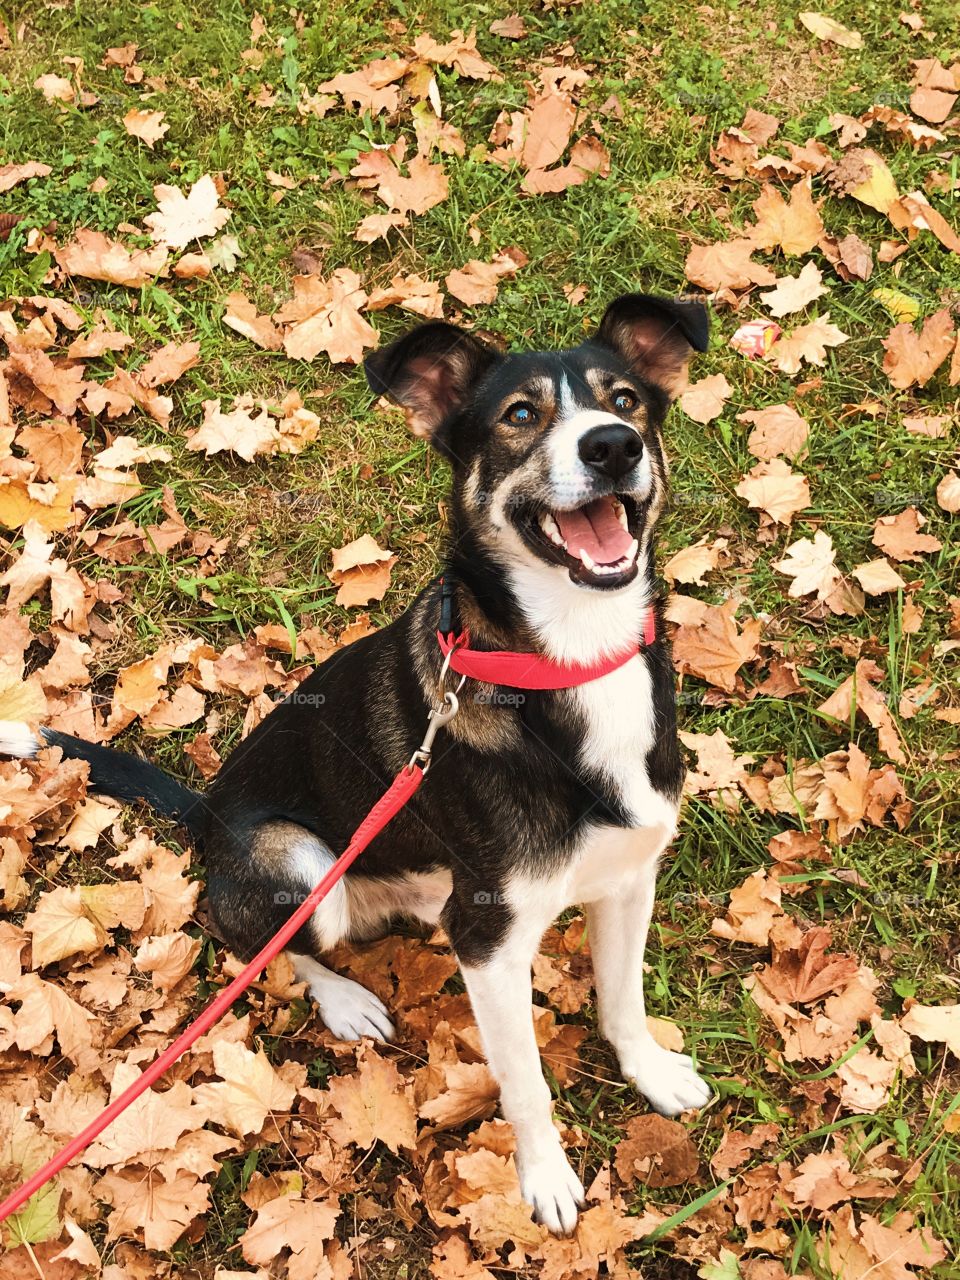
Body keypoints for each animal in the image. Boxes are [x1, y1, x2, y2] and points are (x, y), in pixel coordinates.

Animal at [1, 294, 716, 1233]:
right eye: (520, 417)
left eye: (626, 400)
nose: (611, 447)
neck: (567, 661)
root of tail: (205, 813)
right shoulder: (488, 938)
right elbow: (524, 1083)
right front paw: (545, 1177)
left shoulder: (630, 877)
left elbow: (623, 1001)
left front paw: (650, 1071)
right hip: (297, 863)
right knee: (261, 942)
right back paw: (344, 1000)